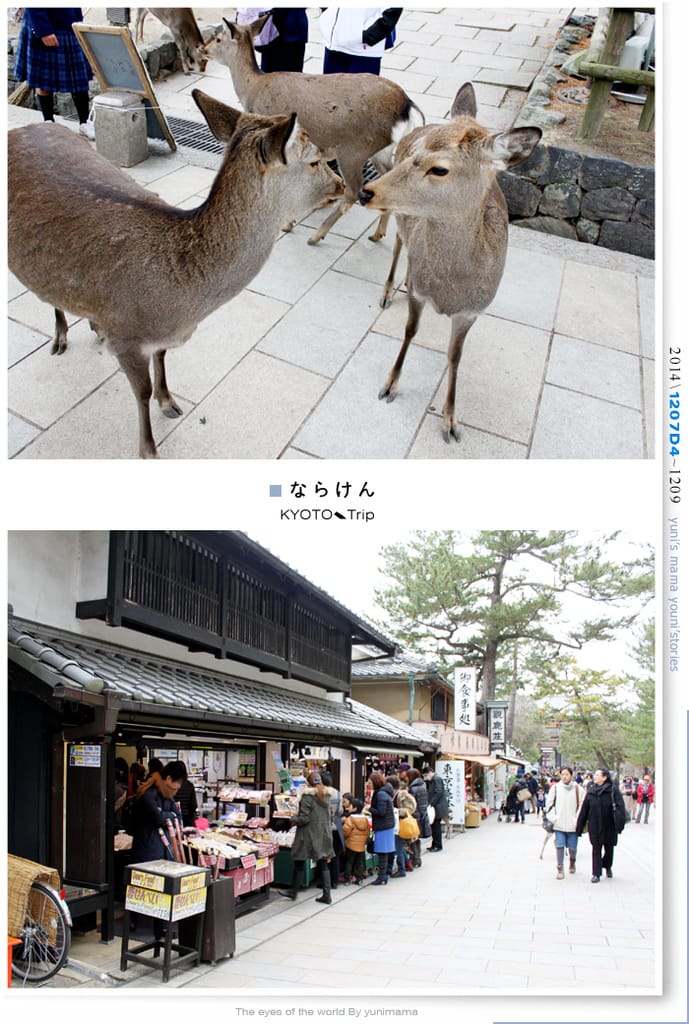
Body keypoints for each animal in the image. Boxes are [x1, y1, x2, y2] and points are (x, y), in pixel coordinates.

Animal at [8, 91, 343, 459]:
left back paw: (93, 326)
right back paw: (60, 337)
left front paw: (168, 400)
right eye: (314, 159)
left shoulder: (156, 337)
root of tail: (19, 131)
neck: (179, 305)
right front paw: (148, 448)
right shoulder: (127, 338)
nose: (341, 184)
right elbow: (140, 391)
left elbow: (162, 356)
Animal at [205, 15, 424, 245]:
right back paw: (376, 233)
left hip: (355, 149)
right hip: (380, 150)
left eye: (218, 38)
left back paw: (317, 235)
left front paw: (287, 223)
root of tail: (407, 105)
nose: (203, 48)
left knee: (353, 191)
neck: (251, 89)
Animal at [358, 83, 542, 444]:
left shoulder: (472, 310)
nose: (366, 192)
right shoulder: (420, 294)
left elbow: (455, 356)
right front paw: (389, 385)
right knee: (398, 243)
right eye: (415, 155)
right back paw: (388, 288)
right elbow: (410, 330)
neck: (449, 288)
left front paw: (451, 421)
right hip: (402, 216)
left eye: (440, 168)